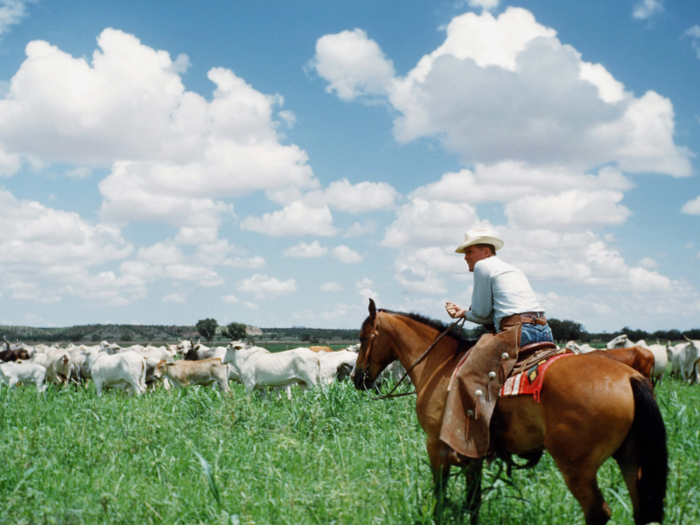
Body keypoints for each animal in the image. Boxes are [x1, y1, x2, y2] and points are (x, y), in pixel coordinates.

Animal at [356, 298, 668, 524]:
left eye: (362, 338)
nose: (356, 378)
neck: (440, 365)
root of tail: (630, 377)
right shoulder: (472, 453)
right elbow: (473, 500)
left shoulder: (436, 445)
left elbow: (440, 496)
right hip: (631, 458)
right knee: (641, 509)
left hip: (577, 467)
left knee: (598, 512)